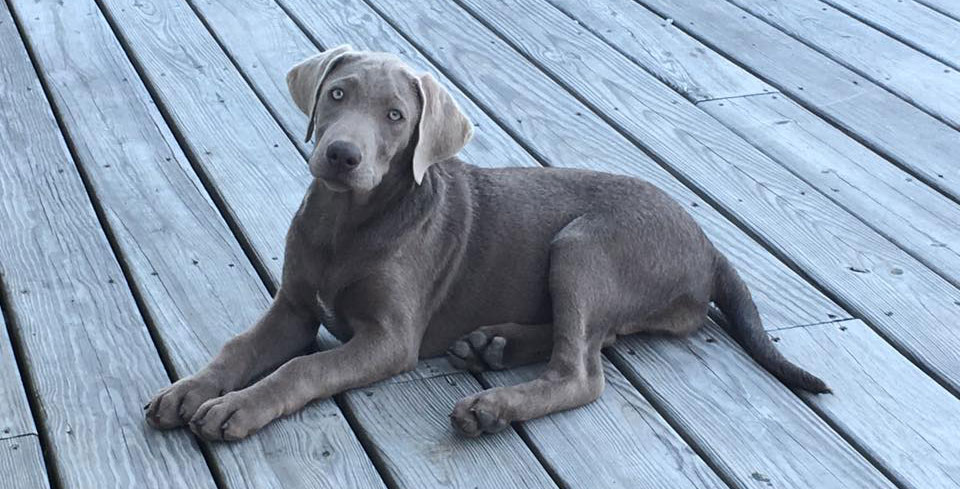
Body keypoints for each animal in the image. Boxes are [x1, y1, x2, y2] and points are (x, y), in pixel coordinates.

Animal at [142, 45, 824, 440]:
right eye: (337, 95)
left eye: (396, 117)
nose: (341, 155)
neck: (348, 223)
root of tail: (709, 244)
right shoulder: (293, 309)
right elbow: (237, 349)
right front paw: (191, 390)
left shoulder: (391, 339)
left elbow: (304, 368)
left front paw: (239, 408)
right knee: (595, 338)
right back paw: (492, 345)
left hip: (583, 246)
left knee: (583, 372)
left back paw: (493, 405)